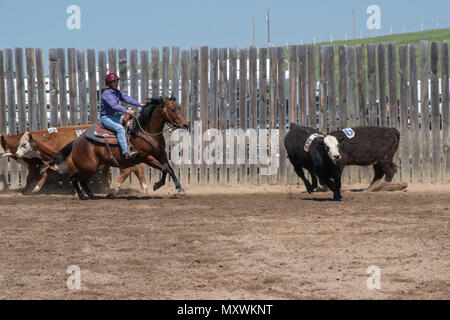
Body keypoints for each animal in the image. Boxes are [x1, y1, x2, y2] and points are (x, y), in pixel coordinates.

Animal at [52, 96, 188, 199]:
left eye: (179, 108)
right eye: (172, 109)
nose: (186, 124)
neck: (147, 133)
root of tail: (76, 141)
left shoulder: (162, 154)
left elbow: (169, 170)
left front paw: (180, 188)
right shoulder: (147, 157)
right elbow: (164, 169)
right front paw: (156, 185)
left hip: (91, 167)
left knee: (82, 180)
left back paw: (92, 195)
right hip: (88, 167)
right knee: (74, 178)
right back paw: (82, 196)